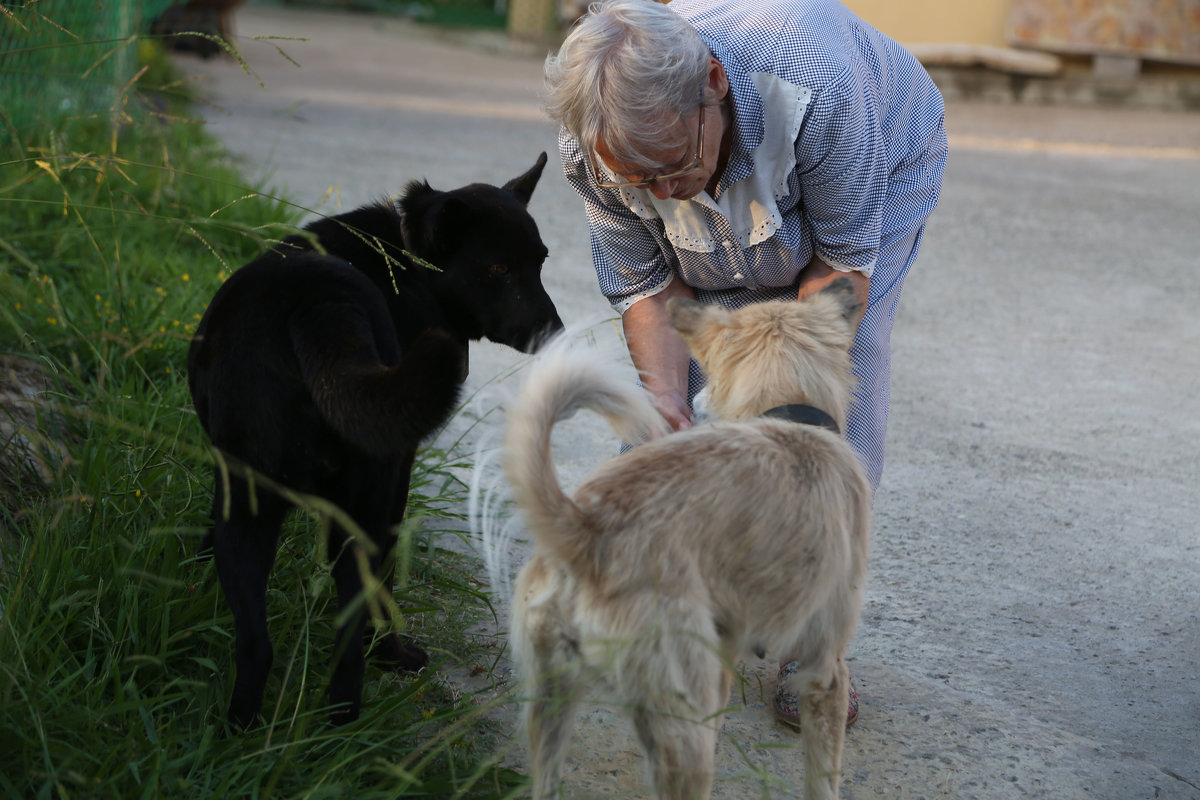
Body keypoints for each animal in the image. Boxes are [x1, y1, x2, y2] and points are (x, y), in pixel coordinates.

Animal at [187, 153, 561, 729]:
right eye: (499, 270)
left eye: (539, 262)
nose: (555, 331)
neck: (409, 261)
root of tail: (318, 308)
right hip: (358, 504)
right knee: (351, 618)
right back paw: (362, 690)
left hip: (260, 511)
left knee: (261, 645)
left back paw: (262, 730)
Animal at [504, 278, 873, 796]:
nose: (694, 407)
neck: (789, 418)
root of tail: (587, 531)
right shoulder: (824, 670)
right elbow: (823, 780)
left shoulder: (725, 653)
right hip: (682, 730)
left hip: (551, 705)